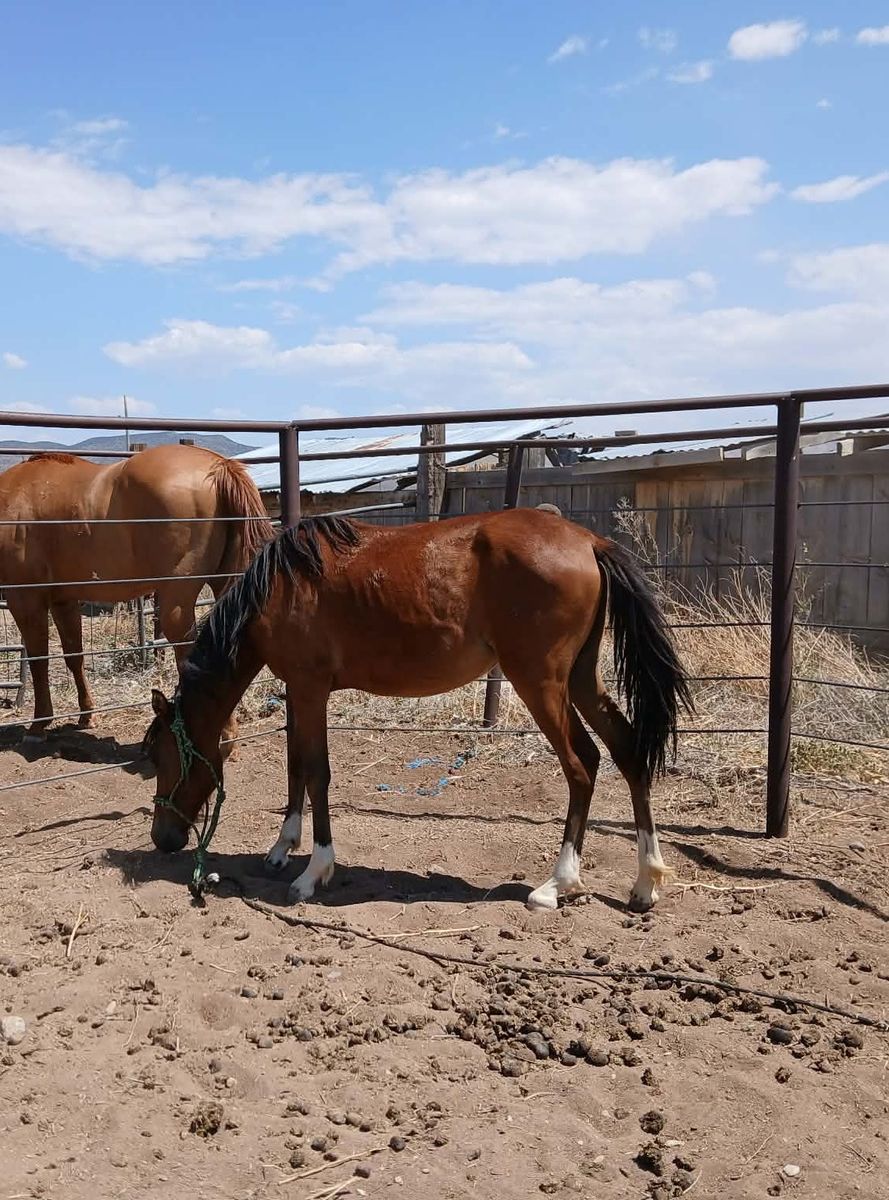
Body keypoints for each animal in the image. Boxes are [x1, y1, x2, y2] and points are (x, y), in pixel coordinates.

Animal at [0, 444, 274, 740]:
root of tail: (218, 465)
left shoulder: (24, 599)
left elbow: (39, 660)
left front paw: (39, 723)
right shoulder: (65, 600)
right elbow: (74, 656)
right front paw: (86, 715)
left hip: (176, 600)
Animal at [144, 508, 692, 911]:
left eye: (162, 756)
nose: (163, 839)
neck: (279, 587)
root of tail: (588, 541)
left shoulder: (310, 689)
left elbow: (317, 773)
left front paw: (314, 871)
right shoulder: (299, 692)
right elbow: (296, 766)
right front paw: (283, 847)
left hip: (541, 684)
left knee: (581, 766)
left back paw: (558, 884)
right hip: (580, 679)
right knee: (626, 751)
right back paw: (645, 882)